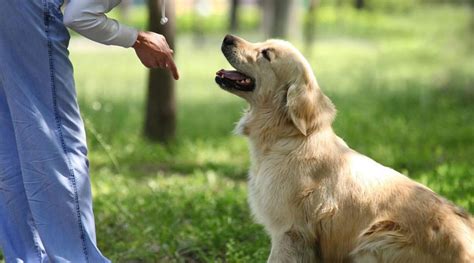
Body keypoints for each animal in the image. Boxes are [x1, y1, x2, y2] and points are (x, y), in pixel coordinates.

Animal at [216, 34, 474, 262]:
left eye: (266, 54)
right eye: (263, 43)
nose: (227, 37)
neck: (287, 136)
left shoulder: (289, 231)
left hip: (376, 239)